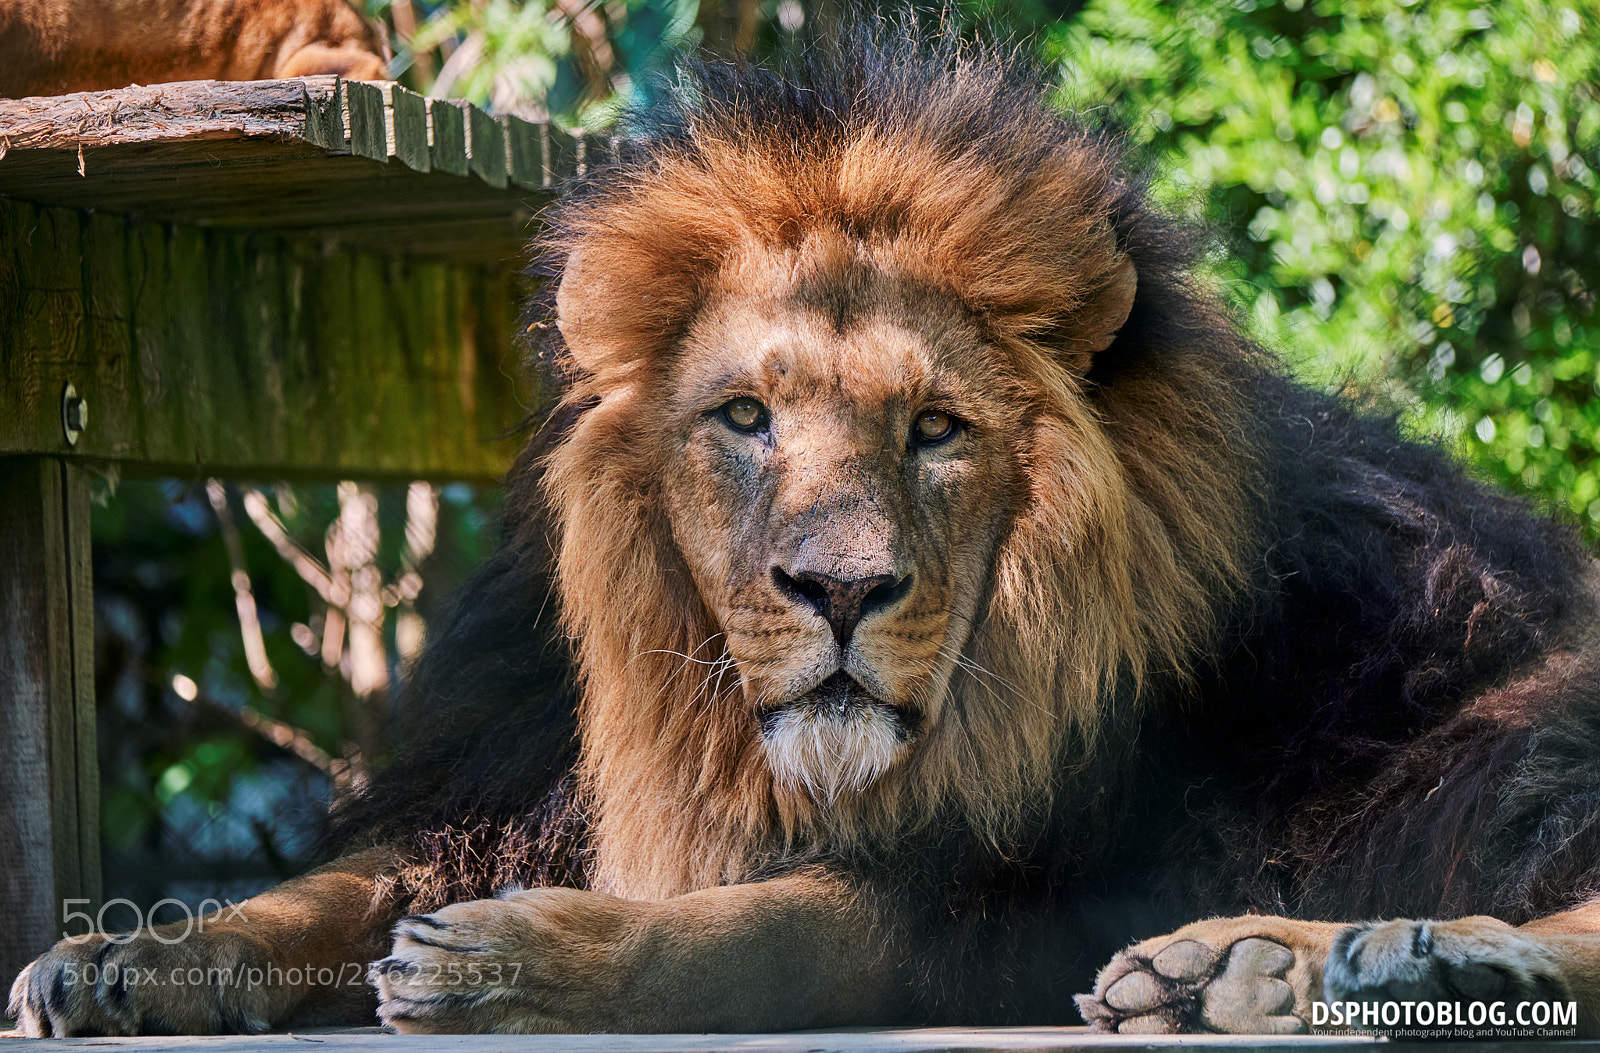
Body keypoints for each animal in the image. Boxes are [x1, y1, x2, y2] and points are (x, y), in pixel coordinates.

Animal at [12, 26, 1600, 1039]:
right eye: (746, 419)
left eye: (937, 430)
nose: (841, 590)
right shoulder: (510, 776)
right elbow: (324, 890)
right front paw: (125, 955)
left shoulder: (1017, 889)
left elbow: (773, 927)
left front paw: (520, 962)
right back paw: (1246, 975)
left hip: (1516, 729)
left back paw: (1410, 960)